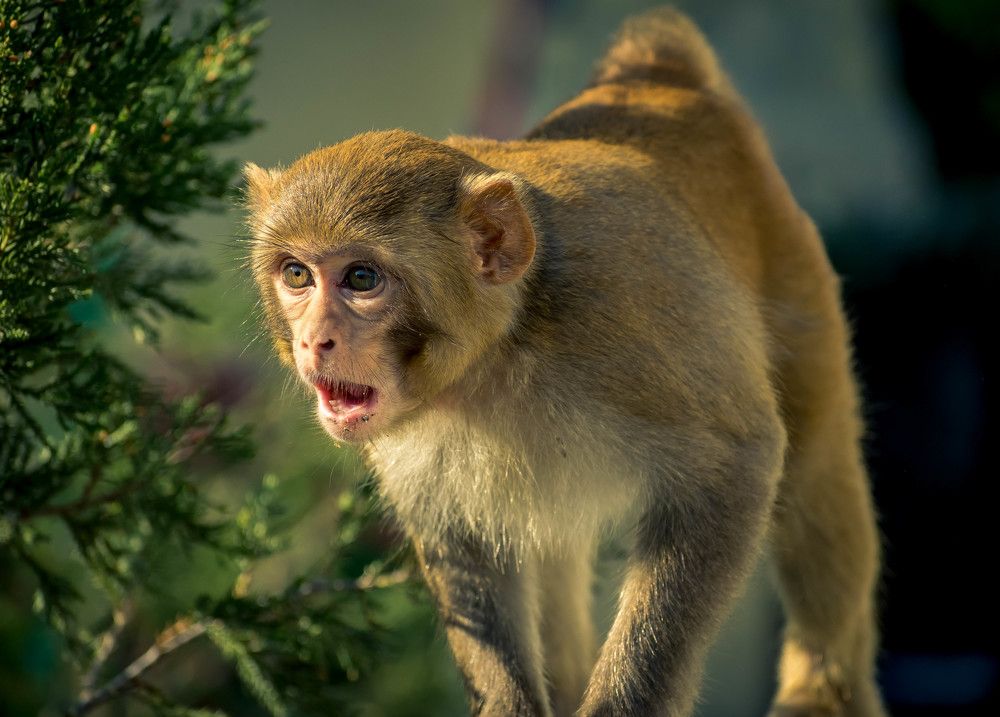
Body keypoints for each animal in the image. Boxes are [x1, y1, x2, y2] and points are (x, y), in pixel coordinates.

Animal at [243, 7, 884, 717]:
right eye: (297, 275)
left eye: (360, 278)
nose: (313, 340)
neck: (497, 354)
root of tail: (657, 81)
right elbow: (465, 547)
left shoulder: (628, 316)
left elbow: (735, 463)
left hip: (796, 276)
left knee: (813, 459)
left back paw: (822, 687)